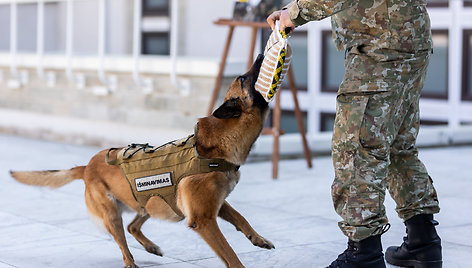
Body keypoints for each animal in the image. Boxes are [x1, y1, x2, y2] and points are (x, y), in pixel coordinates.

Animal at [10, 55, 272, 268]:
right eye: (243, 77)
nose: (261, 54)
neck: (216, 146)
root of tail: (87, 166)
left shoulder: (215, 205)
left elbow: (240, 217)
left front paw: (258, 238)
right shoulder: (203, 219)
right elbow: (230, 255)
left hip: (149, 202)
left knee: (132, 226)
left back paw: (150, 246)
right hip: (113, 214)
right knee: (124, 243)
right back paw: (132, 260)